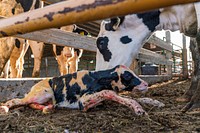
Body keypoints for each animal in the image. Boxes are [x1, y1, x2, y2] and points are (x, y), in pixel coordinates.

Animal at [0, 65, 164, 115]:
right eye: (128, 76)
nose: (146, 84)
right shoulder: (82, 103)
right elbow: (110, 92)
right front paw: (138, 109)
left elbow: (130, 97)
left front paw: (156, 102)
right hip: (43, 92)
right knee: (17, 101)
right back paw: (5, 108)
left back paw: (48, 108)